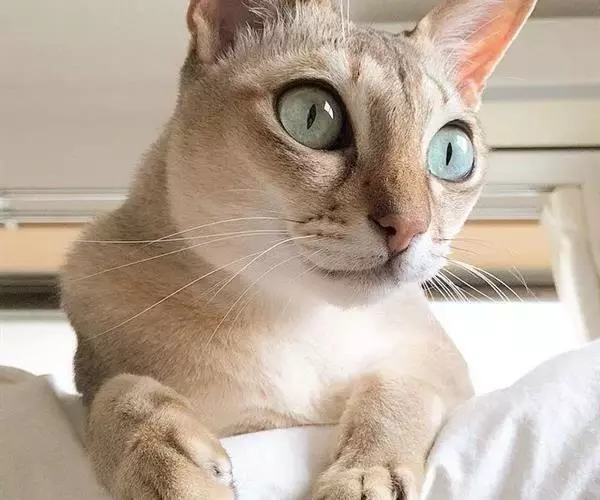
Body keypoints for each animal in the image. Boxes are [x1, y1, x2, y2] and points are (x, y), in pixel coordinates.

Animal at [61, 0, 537, 498]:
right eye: (311, 115)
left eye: (452, 152)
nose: (409, 226)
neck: (297, 318)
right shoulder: (97, 378)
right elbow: (118, 391)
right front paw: (170, 470)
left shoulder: (448, 374)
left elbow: (400, 388)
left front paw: (364, 476)